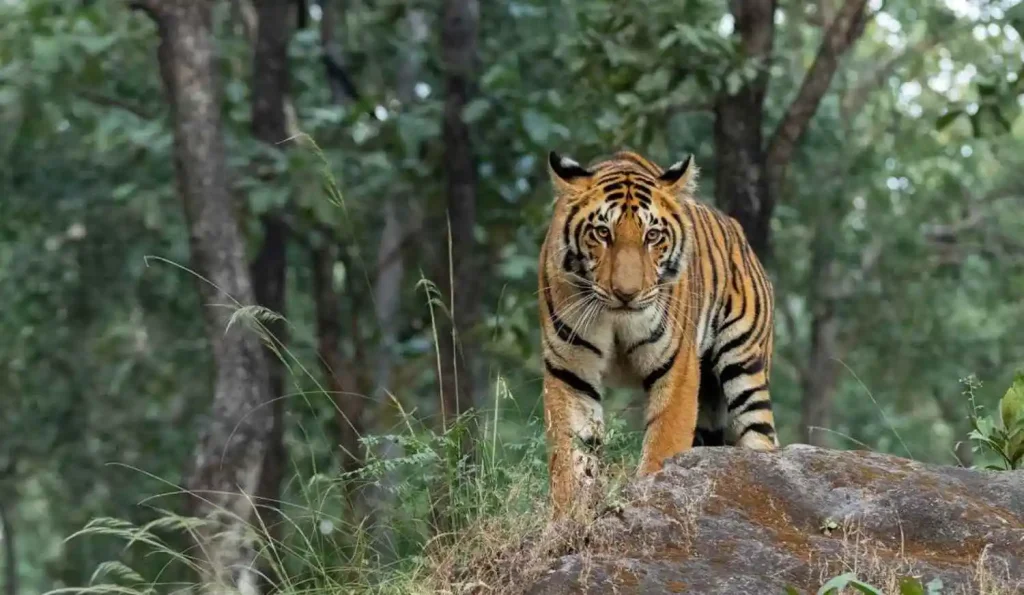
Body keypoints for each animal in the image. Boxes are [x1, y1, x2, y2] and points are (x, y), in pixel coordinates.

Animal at [539, 149, 779, 517]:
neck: (615, 320)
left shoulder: (676, 367)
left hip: (745, 366)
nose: (626, 293)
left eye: (652, 236)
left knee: (762, 436)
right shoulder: (569, 370)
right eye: (602, 233)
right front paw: (569, 517)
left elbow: (664, 441)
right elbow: (570, 456)